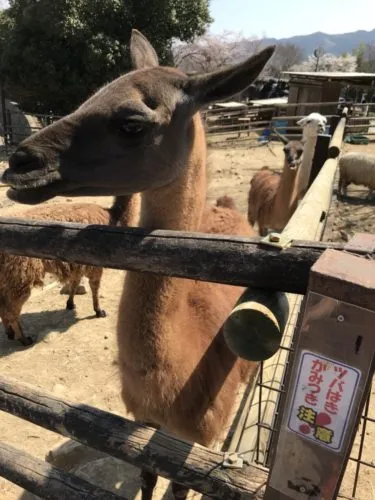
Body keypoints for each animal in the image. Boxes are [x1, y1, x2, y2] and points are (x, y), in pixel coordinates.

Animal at [0, 195, 140, 348]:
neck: (113, 216)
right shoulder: (95, 264)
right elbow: (94, 287)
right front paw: (99, 311)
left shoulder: (77, 263)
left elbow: (75, 282)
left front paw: (70, 304)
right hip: (20, 275)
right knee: (11, 310)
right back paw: (24, 339)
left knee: (3, 305)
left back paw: (10, 333)